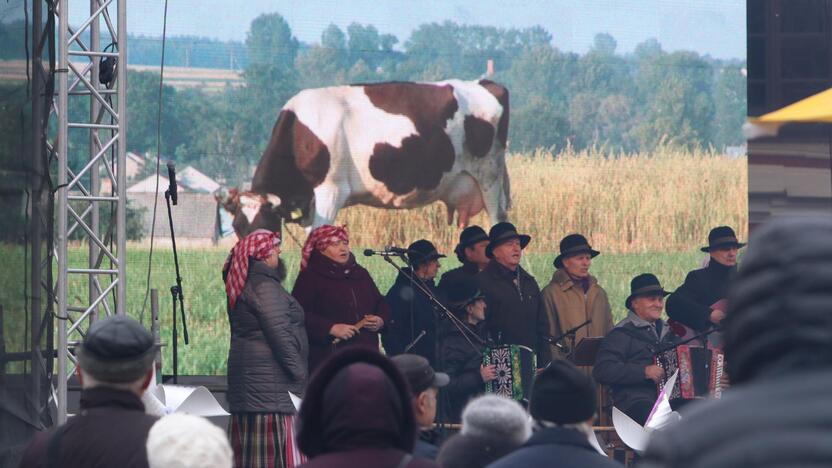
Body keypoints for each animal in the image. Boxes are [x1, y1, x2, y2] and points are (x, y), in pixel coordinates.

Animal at [228, 79, 510, 238]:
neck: (300, 131)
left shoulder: (330, 192)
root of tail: (484, 83)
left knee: (497, 220)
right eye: (238, 228)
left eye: (267, 225)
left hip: (489, 177)